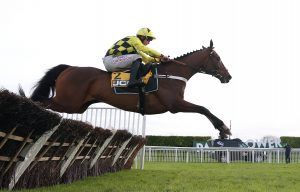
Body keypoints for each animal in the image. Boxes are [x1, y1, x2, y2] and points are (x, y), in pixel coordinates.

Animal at [27, 39, 232, 137]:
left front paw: (223, 129)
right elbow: (203, 108)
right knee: (41, 102)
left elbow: (203, 109)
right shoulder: (174, 104)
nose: (228, 76)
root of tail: (69, 68)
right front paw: (223, 128)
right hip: (67, 102)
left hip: (77, 106)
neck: (171, 73)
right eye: (217, 58)